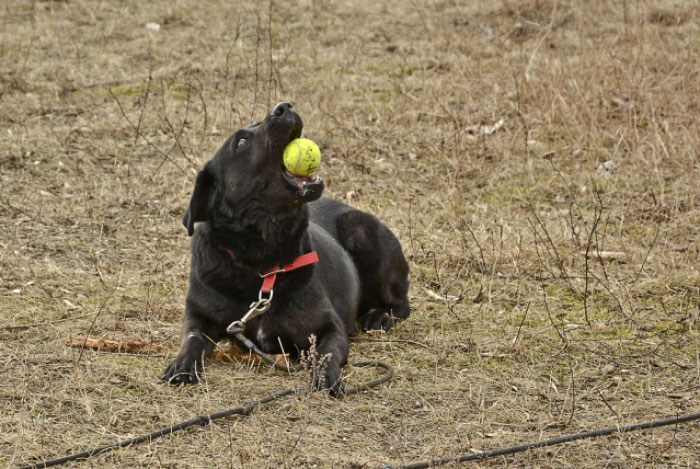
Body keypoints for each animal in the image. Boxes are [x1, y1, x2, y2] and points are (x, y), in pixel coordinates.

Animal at [161, 102, 408, 392]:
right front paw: (183, 364)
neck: (263, 265)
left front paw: (325, 375)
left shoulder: (329, 327)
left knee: (401, 302)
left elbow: (326, 353)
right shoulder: (200, 315)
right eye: (241, 142)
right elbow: (191, 337)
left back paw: (381, 316)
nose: (284, 106)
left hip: (361, 230)